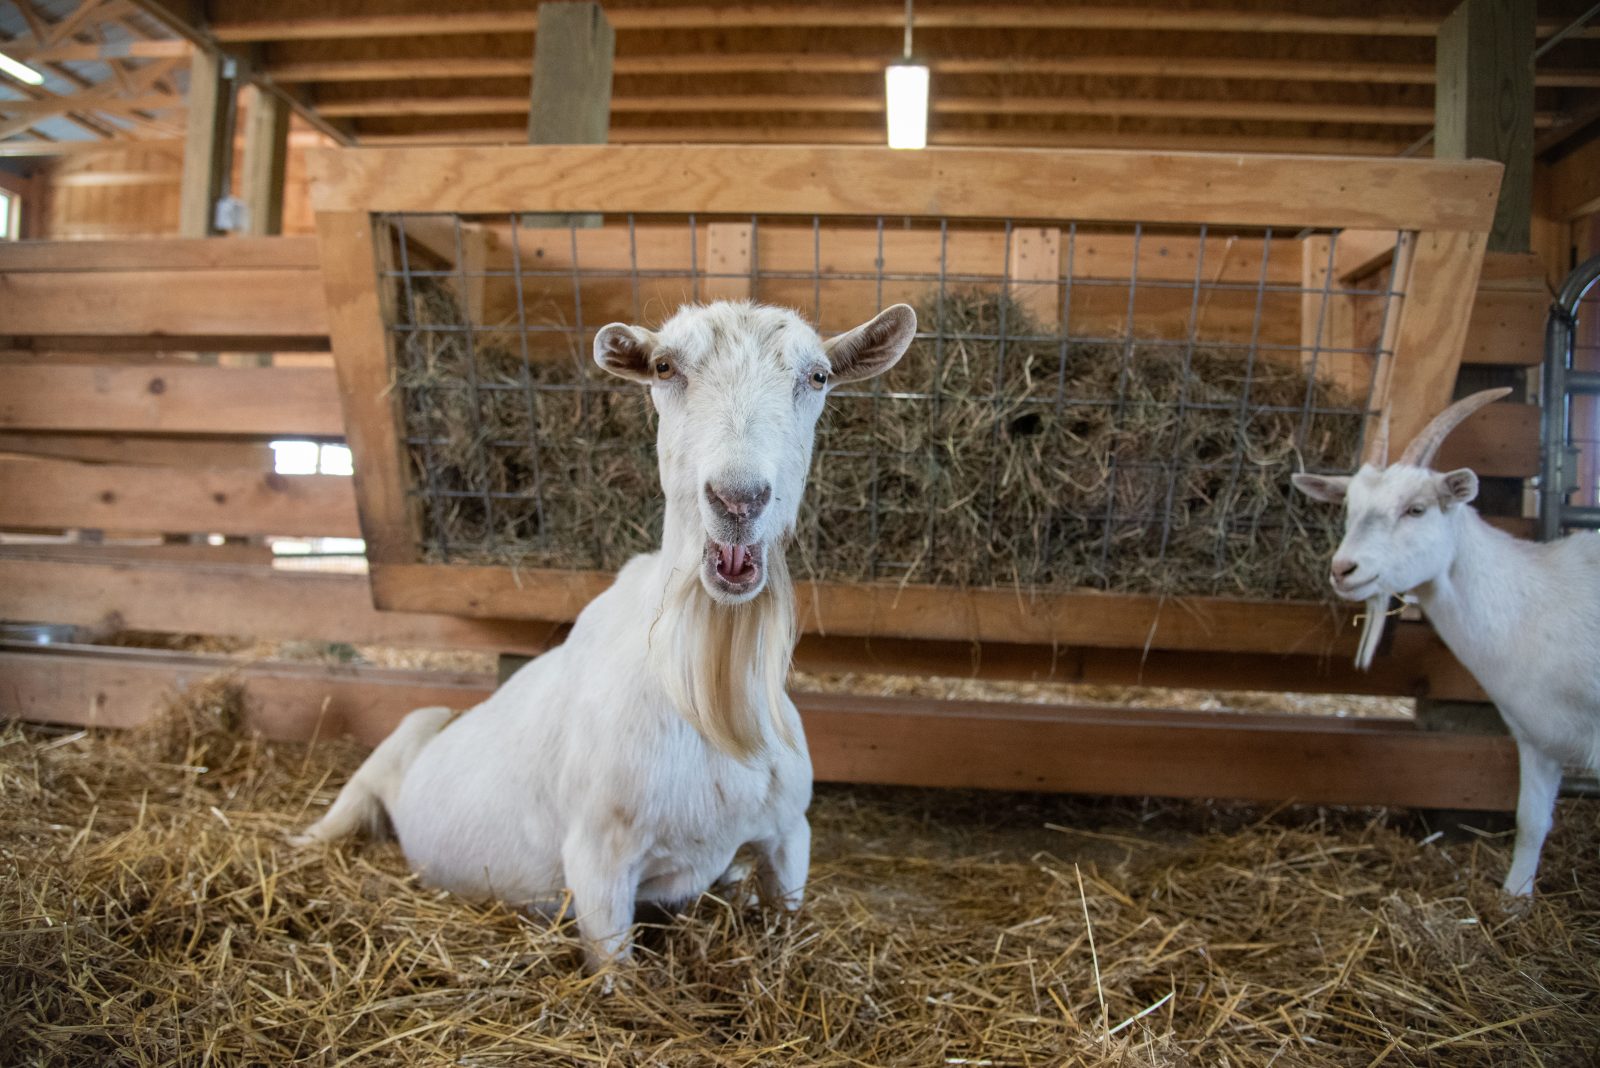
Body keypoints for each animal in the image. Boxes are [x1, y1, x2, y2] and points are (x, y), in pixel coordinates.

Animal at [296, 295, 921, 965]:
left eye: (818, 376)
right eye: (666, 367)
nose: (737, 500)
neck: (703, 692)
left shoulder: (788, 834)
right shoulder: (597, 862)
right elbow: (614, 972)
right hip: (403, 737)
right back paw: (301, 842)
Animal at [1292, 388, 1600, 895]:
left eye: (1416, 509)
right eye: (1348, 509)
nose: (1344, 569)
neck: (1540, 596)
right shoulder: (1536, 734)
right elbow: (1531, 821)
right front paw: (1513, 901)